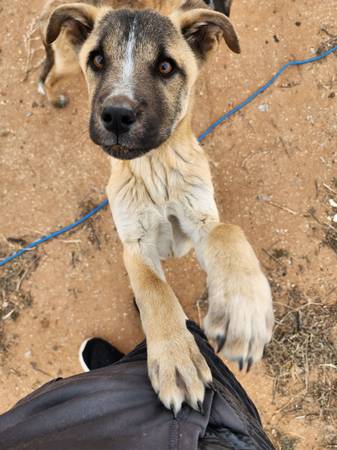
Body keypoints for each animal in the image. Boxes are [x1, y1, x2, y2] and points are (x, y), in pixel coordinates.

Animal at [39, 0, 274, 414]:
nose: (116, 115)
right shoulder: (134, 243)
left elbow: (228, 232)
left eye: (166, 67)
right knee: (50, 74)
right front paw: (176, 357)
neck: (156, 167)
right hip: (66, 60)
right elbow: (154, 290)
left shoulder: (201, 219)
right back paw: (52, 97)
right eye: (97, 59)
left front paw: (243, 311)